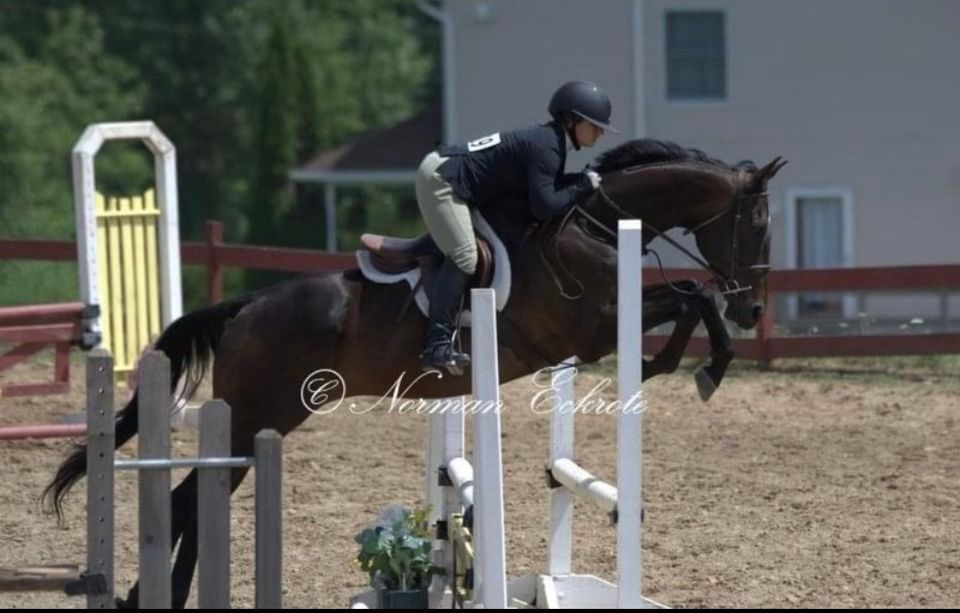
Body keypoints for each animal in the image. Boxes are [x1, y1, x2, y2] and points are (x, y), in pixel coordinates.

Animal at [45, 138, 785, 607]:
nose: (753, 307)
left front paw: (686, 360)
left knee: (188, 499)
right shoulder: (589, 327)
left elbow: (689, 295)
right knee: (192, 498)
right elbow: (691, 295)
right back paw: (153, 595)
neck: (595, 223)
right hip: (261, 414)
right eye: (757, 224)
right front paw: (693, 364)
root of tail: (246, 306)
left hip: (261, 419)